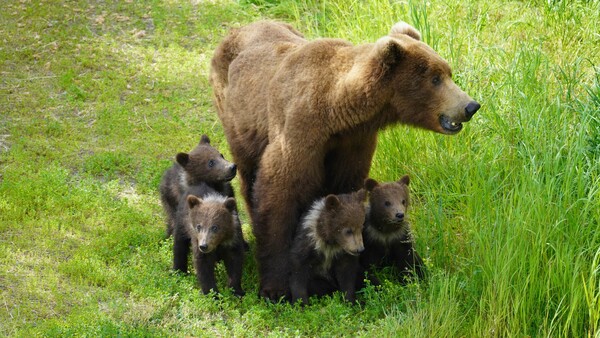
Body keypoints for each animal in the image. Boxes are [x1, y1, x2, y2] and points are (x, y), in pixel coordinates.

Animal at [209, 19, 480, 300]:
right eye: (435, 78)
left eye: (447, 72)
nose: (470, 106)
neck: (336, 110)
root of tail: (238, 29)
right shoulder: (301, 132)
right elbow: (279, 192)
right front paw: (275, 288)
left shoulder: (352, 143)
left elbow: (346, 190)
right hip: (236, 119)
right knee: (248, 175)